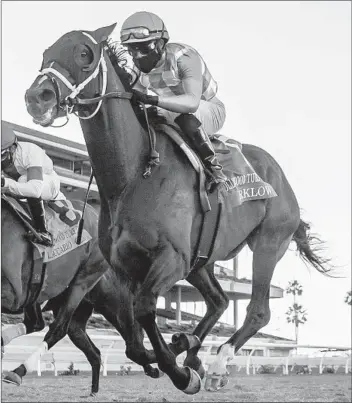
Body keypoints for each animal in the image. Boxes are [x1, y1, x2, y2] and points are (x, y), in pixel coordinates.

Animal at [24, 24, 332, 394]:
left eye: (84, 53)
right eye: (45, 54)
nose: (37, 96)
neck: (135, 175)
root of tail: (280, 178)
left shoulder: (172, 258)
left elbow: (144, 311)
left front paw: (181, 373)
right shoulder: (125, 269)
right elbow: (133, 339)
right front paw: (176, 356)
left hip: (268, 244)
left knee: (257, 310)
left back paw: (215, 364)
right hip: (202, 260)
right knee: (219, 300)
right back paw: (191, 348)